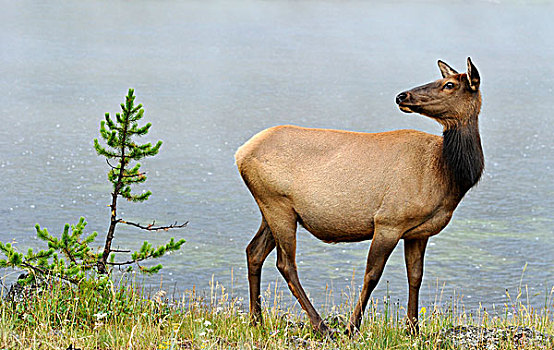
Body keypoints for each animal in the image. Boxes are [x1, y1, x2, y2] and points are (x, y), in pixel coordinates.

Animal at [235, 58, 480, 336]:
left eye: (449, 84)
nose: (402, 96)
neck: (448, 174)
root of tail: (240, 153)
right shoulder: (388, 222)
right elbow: (372, 275)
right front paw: (352, 327)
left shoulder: (419, 232)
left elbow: (415, 276)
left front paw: (413, 328)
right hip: (277, 204)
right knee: (285, 263)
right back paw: (321, 326)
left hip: (271, 207)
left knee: (254, 251)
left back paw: (257, 320)